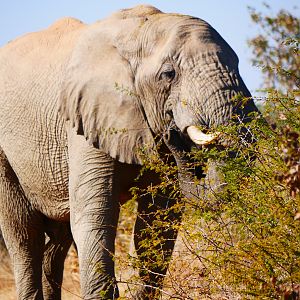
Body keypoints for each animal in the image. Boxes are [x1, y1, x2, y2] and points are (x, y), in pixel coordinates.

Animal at [0, 4, 258, 300]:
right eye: (169, 74)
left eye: (238, 64)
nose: (173, 132)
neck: (140, 30)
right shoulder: (84, 119)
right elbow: (95, 214)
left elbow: (158, 220)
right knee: (24, 234)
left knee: (58, 238)